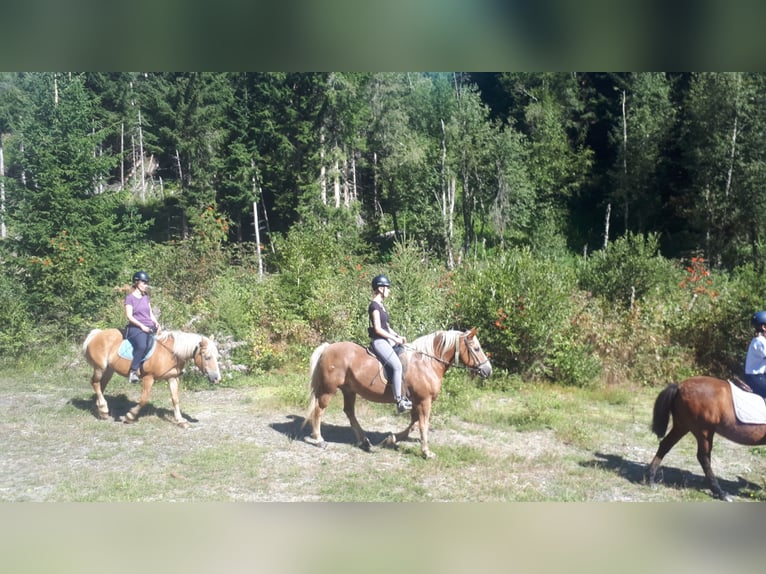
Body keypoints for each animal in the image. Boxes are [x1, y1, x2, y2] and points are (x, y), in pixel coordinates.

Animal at [84, 328, 222, 428]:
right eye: (207, 357)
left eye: (216, 357)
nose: (217, 378)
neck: (170, 352)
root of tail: (96, 334)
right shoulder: (148, 378)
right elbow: (144, 399)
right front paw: (130, 416)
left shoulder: (172, 378)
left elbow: (175, 399)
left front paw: (180, 420)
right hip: (100, 368)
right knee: (94, 383)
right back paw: (103, 408)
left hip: (109, 370)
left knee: (101, 385)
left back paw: (100, 409)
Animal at [302, 328, 492, 460]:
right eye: (476, 348)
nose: (488, 370)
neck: (427, 363)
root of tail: (328, 348)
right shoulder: (424, 401)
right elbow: (423, 424)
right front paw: (426, 452)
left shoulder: (417, 401)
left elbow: (414, 423)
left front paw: (391, 439)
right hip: (329, 390)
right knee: (319, 411)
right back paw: (320, 440)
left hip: (349, 390)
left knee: (349, 412)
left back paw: (364, 442)